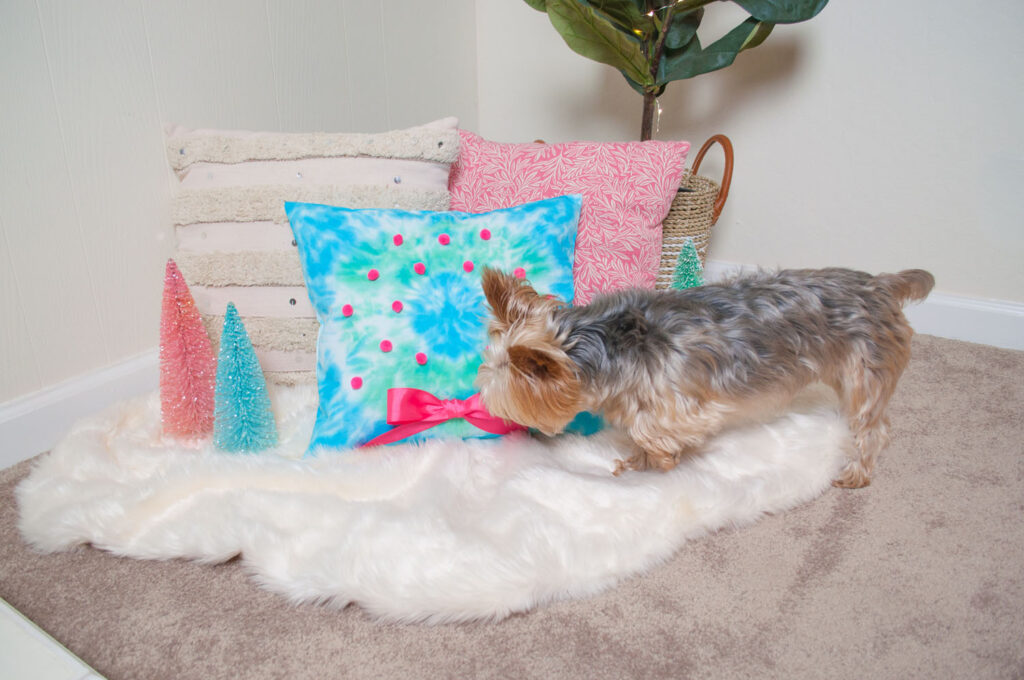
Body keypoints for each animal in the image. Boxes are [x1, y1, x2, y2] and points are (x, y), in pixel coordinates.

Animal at [475, 266, 933, 489]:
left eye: (510, 404)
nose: (484, 414)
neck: (603, 344)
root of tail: (881, 284)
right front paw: (637, 462)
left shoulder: (685, 406)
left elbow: (652, 430)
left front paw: (658, 462)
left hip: (865, 371)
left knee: (874, 427)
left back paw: (857, 472)